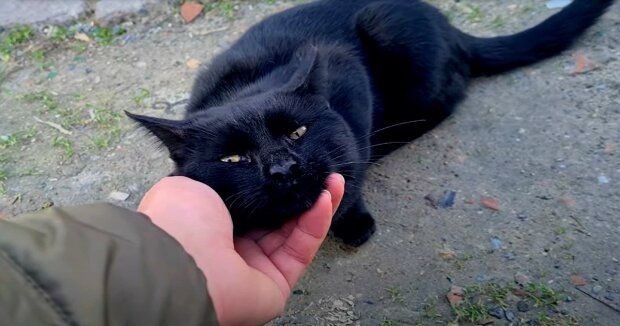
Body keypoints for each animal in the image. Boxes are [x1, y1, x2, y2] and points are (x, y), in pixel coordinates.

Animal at [127, 0, 616, 246]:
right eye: (233, 158)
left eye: (297, 133)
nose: (284, 169)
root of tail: (447, 24)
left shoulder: (351, 88)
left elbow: (352, 170)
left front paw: (354, 222)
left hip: (398, 46)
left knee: (450, 97)